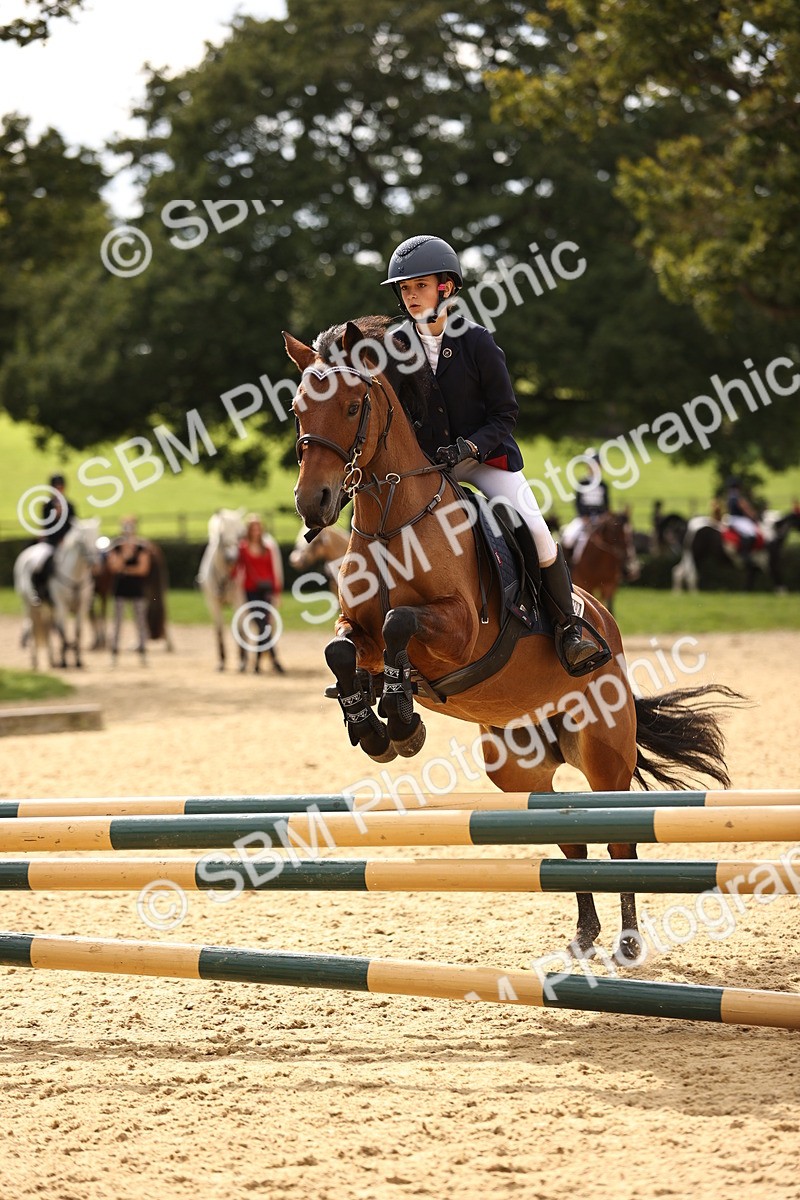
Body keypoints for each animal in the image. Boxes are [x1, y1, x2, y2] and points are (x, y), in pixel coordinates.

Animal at [14, 520, 102, 669]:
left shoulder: (81, 607)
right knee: (31, 628)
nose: (94, 563)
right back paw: (35, 660)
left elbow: (78, 632)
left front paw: (78, 661)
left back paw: (51, 660)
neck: (75, 577)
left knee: (47, 628)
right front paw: (64, 661)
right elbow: (62, 631)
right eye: (81, 541)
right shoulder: (61, 606)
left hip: (48, 609)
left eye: (96, 538)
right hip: (29, 606)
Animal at [285, 315, 738, 964]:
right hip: (518, 765)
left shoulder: (458, 631)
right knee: (567, 840)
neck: (395, 521)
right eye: (298, 408)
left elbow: (402, 625)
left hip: (604, 750)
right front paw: (372, 725)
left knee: (618, 840)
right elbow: (343, 650)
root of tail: (609, 631)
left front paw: (401, 717)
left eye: (351, 406)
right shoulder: (360, 629)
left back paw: (626, 943)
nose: (312, 504)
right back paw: (584, 935)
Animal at [672, 508, 800, 593]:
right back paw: (694, 594)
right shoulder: (770, 563)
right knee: (691, 574)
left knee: (679, 571)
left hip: (690, 556)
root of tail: (689, 523)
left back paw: (678, 593)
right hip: (696, 556)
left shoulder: (754, 567)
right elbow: (779, 583)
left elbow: (749, 586)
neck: (770, 534)